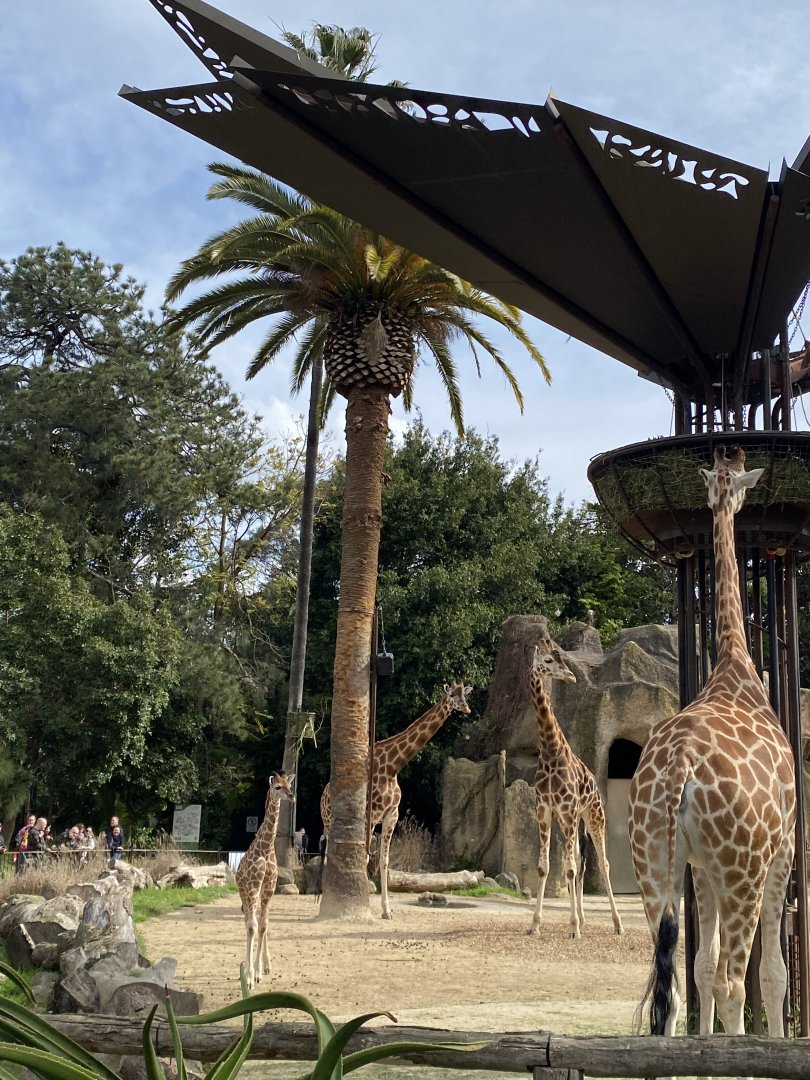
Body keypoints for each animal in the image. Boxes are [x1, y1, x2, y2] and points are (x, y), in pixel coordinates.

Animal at [235, 770, 295, 989]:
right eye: (277, 787)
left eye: (289, 785)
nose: (292, 796)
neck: (267, 847)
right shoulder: (253, 885)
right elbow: (253, 927)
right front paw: (250, 976)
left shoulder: (269, 886)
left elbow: (263, 926)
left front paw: (260, 971)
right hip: (244, 891)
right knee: (247, 921)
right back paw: (246, 969)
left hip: (260, 892)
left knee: (261, 920)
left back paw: (265, 966)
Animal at [320, 681, 472, 920]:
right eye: (451, 695)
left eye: (465, 696)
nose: (467, 710)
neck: (393, 767)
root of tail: (324, 793)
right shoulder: (371, 814)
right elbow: (365, 858)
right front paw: (363, 904)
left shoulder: (391, 814)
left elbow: (384, 862)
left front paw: (387, 910)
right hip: (329, 820)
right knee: (328, 853)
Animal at [528, 636, 624, 939]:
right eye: (547, 660)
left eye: (559, 658)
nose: (570, 676)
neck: (550, 752)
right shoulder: (546, 810)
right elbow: (545, 867)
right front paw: (535, 925)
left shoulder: (568, 811)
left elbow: (569, 869)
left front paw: (573, 929)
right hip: (572, 820)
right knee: (580, 863)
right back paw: (582, 918)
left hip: (593, 816)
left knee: (602, 864)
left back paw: (617, 924)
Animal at [628, 446, 796, 1049]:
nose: (733, 498)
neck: (734, 666)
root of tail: (678, 768)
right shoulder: (782, 851)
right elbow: (772, 975)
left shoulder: (700, 868)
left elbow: (699, 967)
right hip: (743, 868)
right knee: (735, 983)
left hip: (653, 862)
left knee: (672, 987)